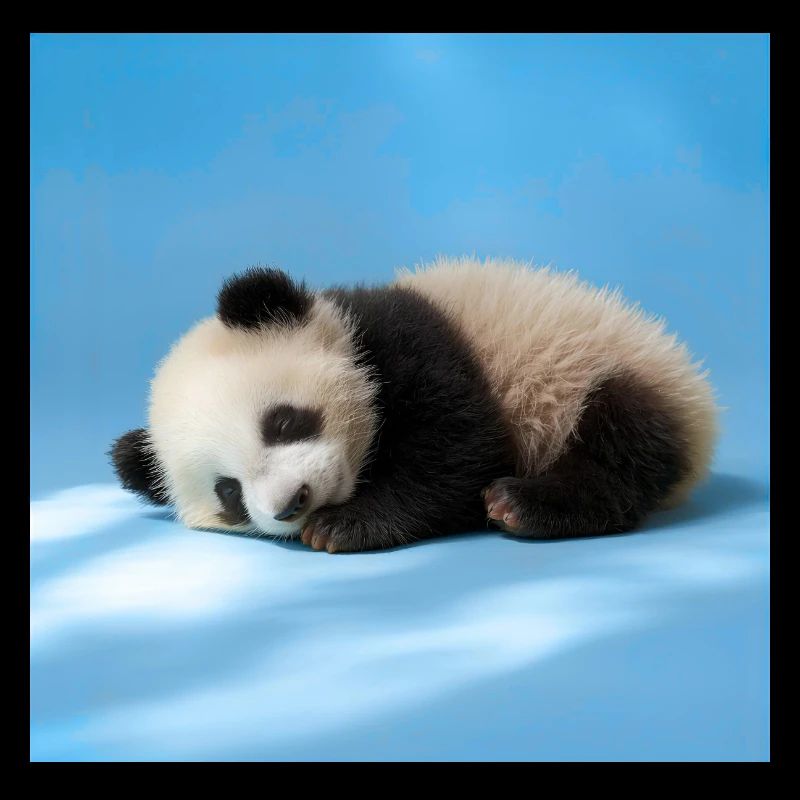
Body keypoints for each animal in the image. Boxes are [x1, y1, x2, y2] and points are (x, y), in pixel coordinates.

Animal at [111, 256, 718, 553]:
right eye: (228, 493)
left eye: (282, 422)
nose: (292, 504)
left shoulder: (413, 341)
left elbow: (458, 447)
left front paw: (343, 526)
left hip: (602, 369)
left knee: (621, 442)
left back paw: (525, 503)